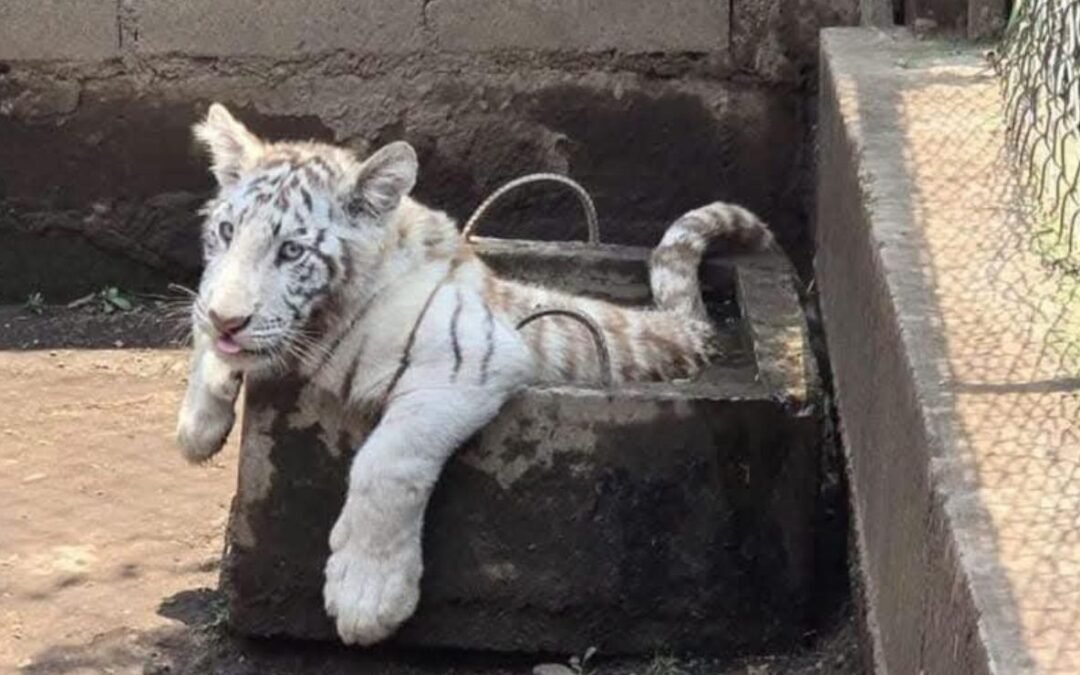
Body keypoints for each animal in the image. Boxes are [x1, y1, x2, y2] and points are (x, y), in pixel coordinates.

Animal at [175, 103, 775, 646]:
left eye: (292, 251)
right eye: (225, 232)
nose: (228, 320)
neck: (325, 320)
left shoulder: (472, 357)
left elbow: (385, 462)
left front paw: (367, 596)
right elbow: (206, 321)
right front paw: (198, 426)